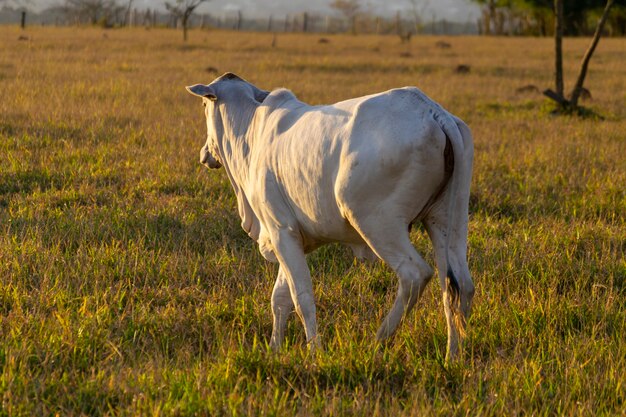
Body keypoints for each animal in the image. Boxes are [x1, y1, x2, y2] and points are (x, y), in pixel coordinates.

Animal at [185, 73, 472, 360]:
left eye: (204, 105)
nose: (204, 154)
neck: (251, 132)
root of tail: (433, 112)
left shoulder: (281, 231)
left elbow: (301, 297)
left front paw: (315, 351)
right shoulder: (288, 238)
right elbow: (280, 298)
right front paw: (275, 348)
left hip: (378, 224)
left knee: (415, 275)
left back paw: (377, 342)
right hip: (447, 220)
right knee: (458, 287)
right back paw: (453, 356)